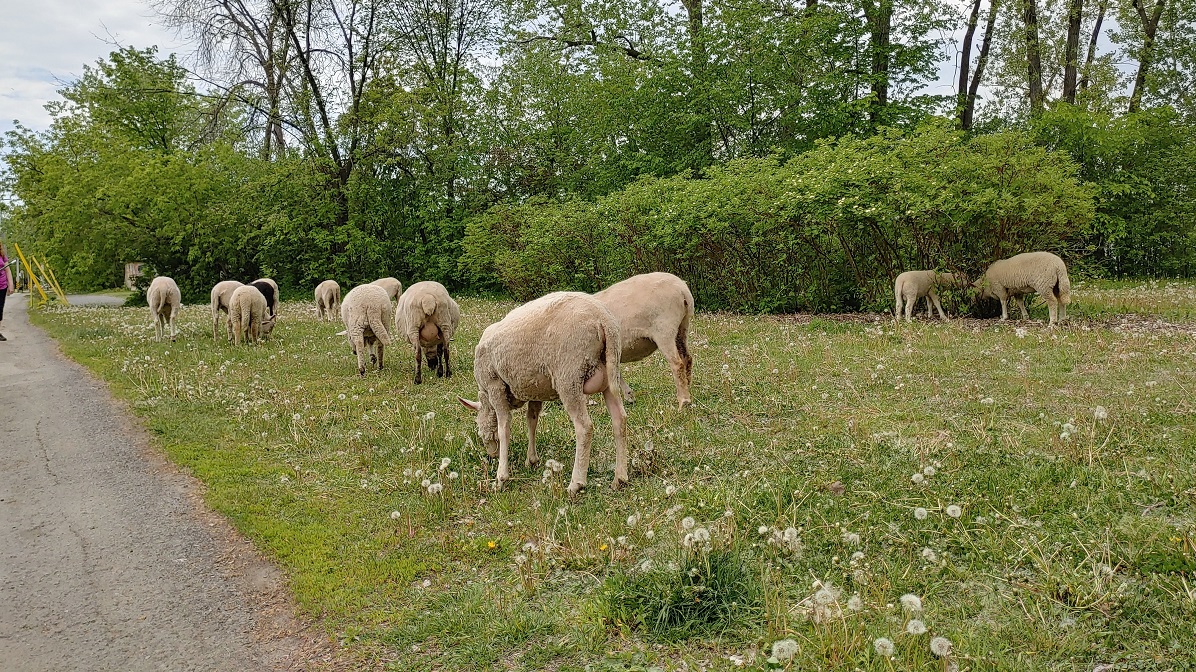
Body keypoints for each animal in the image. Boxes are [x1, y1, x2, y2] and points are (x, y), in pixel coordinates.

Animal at [458, 292, 628, 496]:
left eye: (479, 433)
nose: (491, 455)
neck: (486, 399)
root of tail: (603, 320)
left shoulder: (495, 385)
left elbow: (503, 427)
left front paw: (501, 477)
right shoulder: (534, 388)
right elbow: (532, 420)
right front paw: (531, 459)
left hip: (569, 376)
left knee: (584, 427)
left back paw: (576, 483)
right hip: (609, 373)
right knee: (619, 419)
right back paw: (620, 478)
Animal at [593, 272, 694, 409]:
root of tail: (682, 289)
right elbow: (616, 375)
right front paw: (629, 396)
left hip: (664, 329)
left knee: (677, 364)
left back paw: (683, 401)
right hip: (682, 326)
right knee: (687, 358)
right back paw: (687, 388)